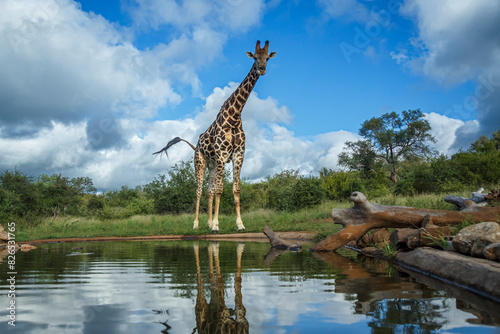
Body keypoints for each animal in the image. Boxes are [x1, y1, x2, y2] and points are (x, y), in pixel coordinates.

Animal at [153, 39, 278, 232]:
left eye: (268, 58)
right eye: (255, 57)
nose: (262, 69)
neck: (234, 117)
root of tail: (195, 146)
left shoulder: (238, 155)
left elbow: (235, 190)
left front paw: (239, 224)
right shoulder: (221, 156)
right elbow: (220, 190)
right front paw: (217, 226)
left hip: (212, 166)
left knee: (209, 190)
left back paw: (208, 222)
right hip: (200, 163)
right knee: (199, 190)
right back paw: (196, 224)